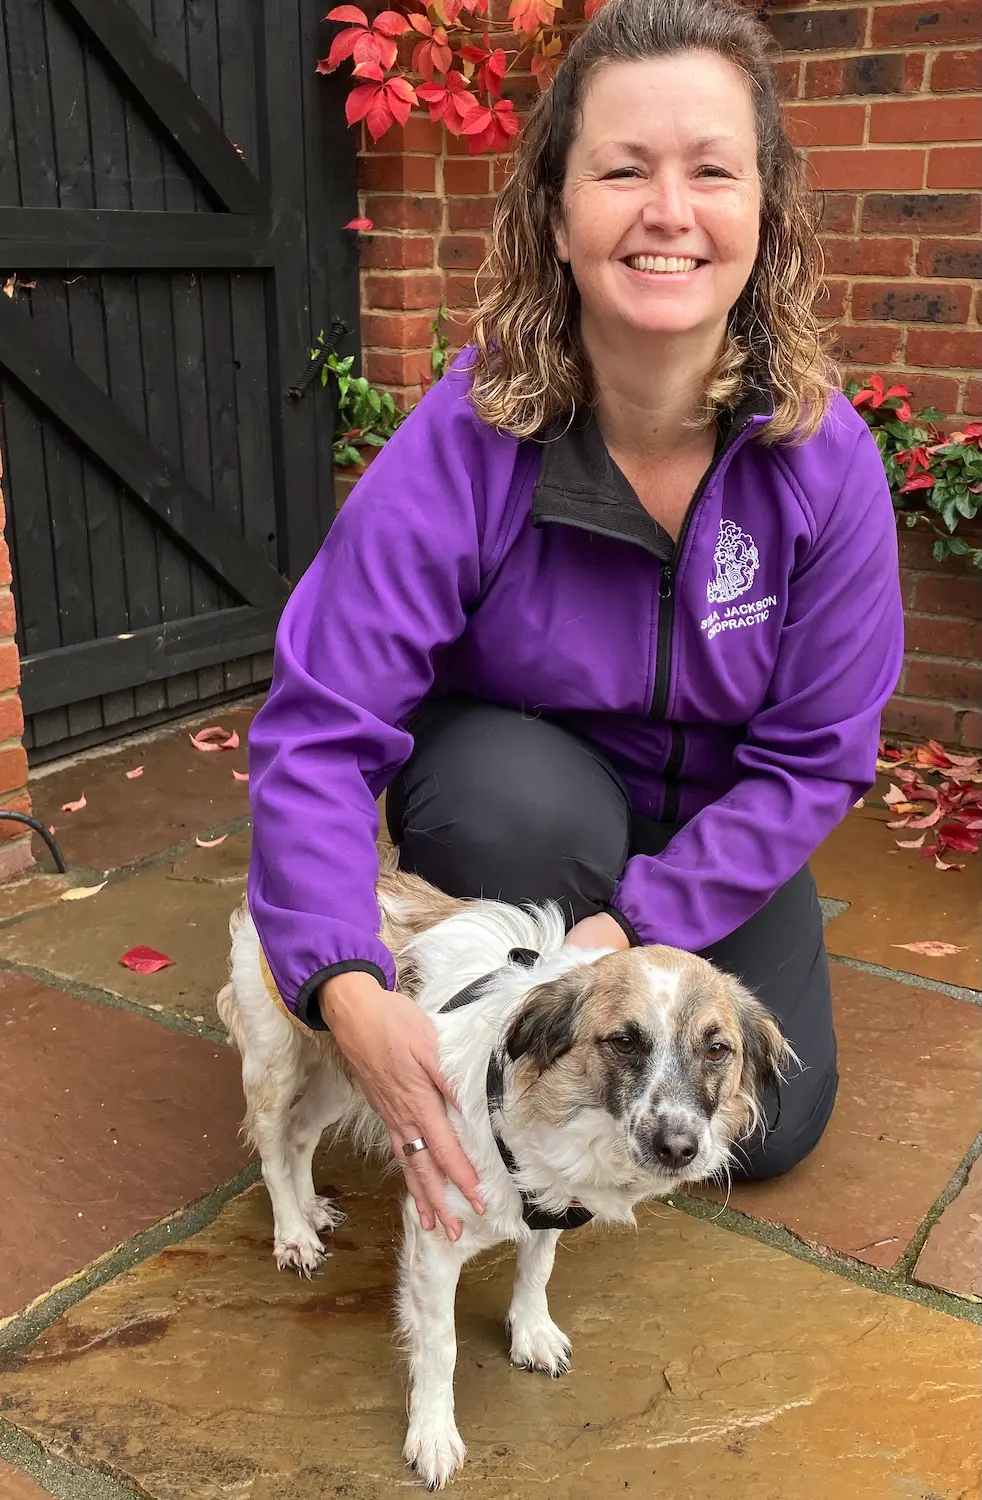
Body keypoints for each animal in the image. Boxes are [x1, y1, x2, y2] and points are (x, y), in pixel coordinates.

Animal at [218, 870, 797, 1488]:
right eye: (623, 1040)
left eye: (717, 1049)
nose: (680, 1149)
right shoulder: (434, 1234)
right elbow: (441, 1345)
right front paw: (432, 1434)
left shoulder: (552, 1198)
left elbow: (537, 1269)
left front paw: (530, 1333)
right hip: (279, 1064)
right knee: (273, 1145)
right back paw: (293, 1233)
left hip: (352, 1071)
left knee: (302, 1134)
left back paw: (311, 1209)